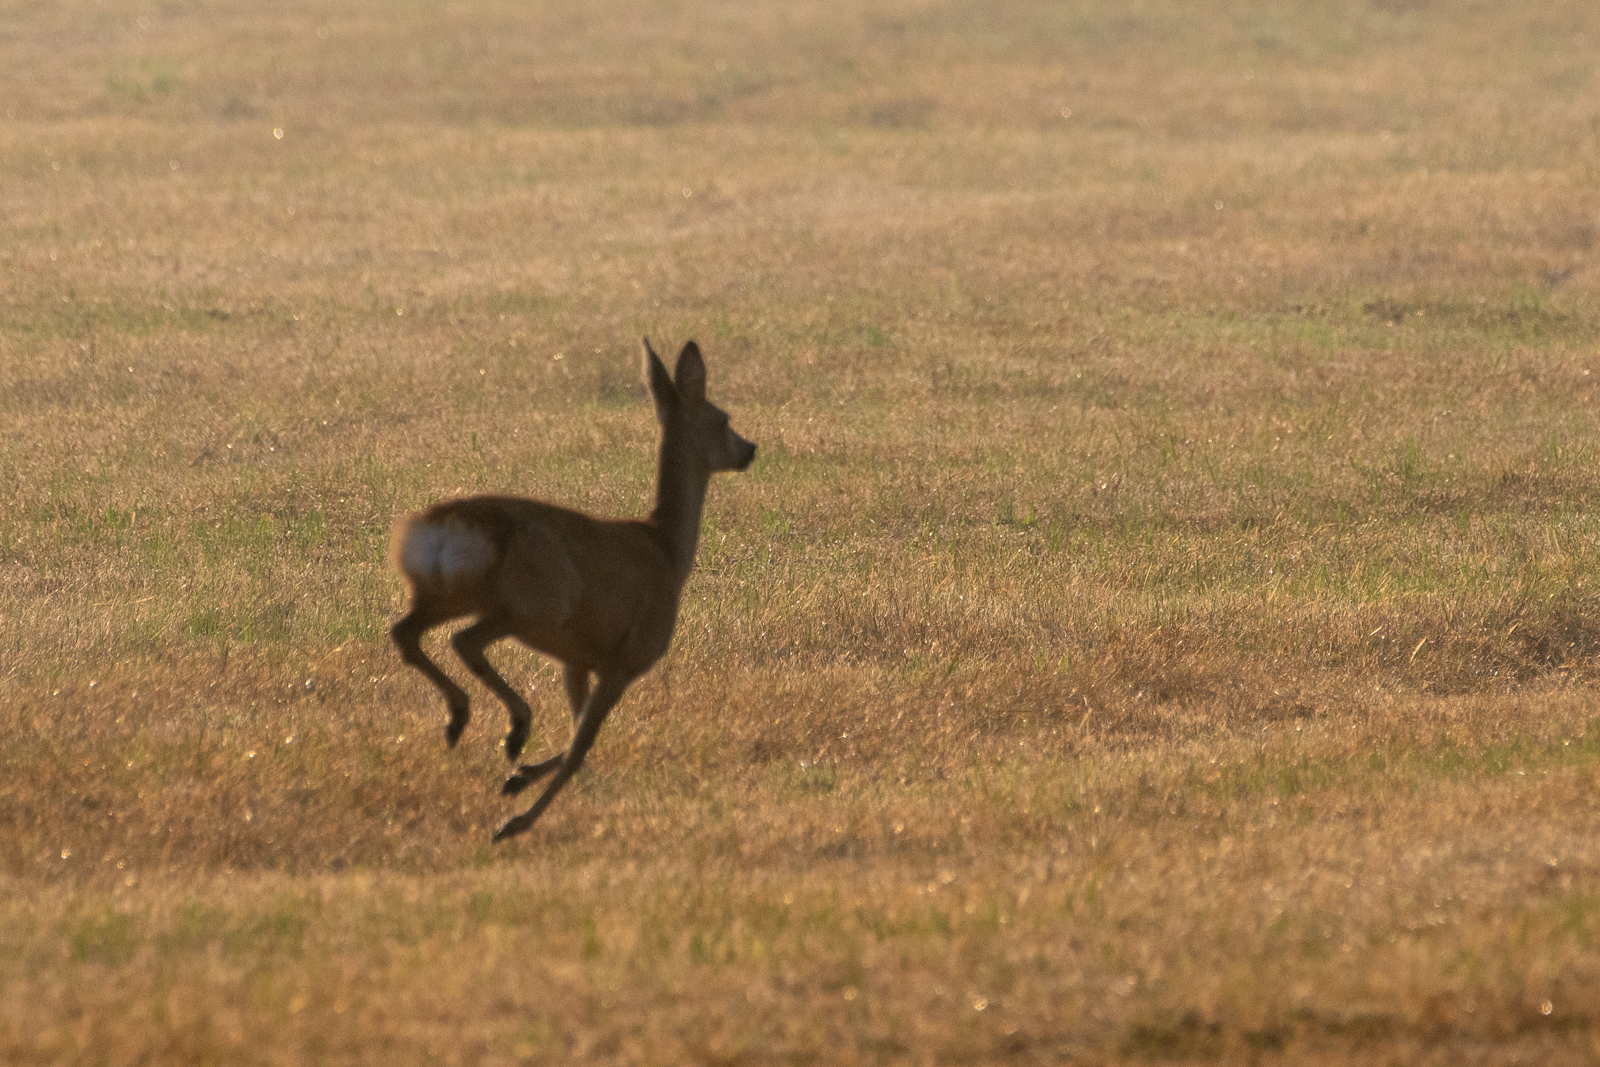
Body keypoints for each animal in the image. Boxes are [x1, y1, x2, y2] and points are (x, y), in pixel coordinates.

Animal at [390, 342, 758, 844]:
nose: (750, 449)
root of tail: (444, 529)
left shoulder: (577, 660)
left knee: (405, 632)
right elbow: (584, 748)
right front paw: (515, 817)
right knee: (464, 640)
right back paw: (513, 728)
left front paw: (518, 779)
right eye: (723, 419)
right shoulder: (624, 660)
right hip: (534, 603)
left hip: (446, 594)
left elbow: (576, 736)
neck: (667, 550)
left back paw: (460, 721)